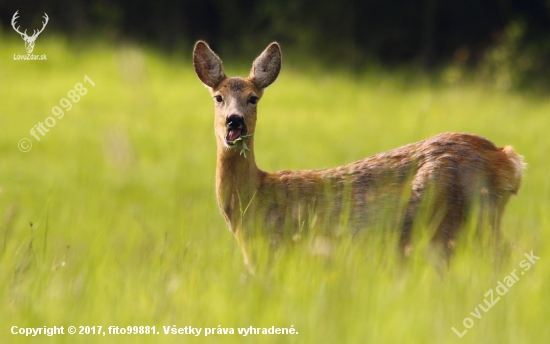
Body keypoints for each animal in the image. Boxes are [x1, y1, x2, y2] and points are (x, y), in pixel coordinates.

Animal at [194, 41, 528, 266]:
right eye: (218, 97)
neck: (253, 199)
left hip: (449, 222)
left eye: (253, 98)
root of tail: (508, 160)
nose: (234, 120)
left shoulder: (274, 250)